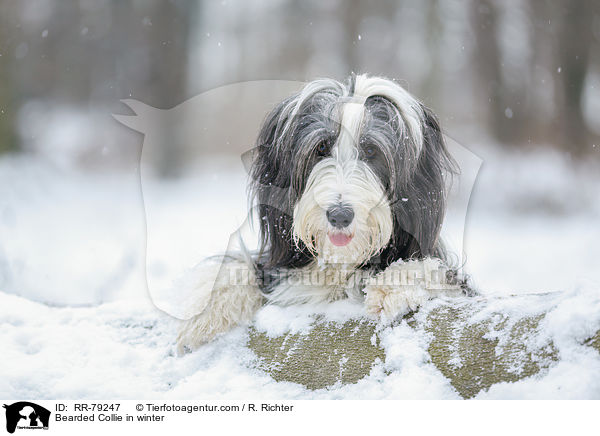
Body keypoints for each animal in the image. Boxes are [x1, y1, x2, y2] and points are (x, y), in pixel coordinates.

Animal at [176, 74, 466, 354]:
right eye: (322, 148)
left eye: (371, 150)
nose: (339, 215)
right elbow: (242, 267)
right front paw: (204, 314)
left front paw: (395, 284)